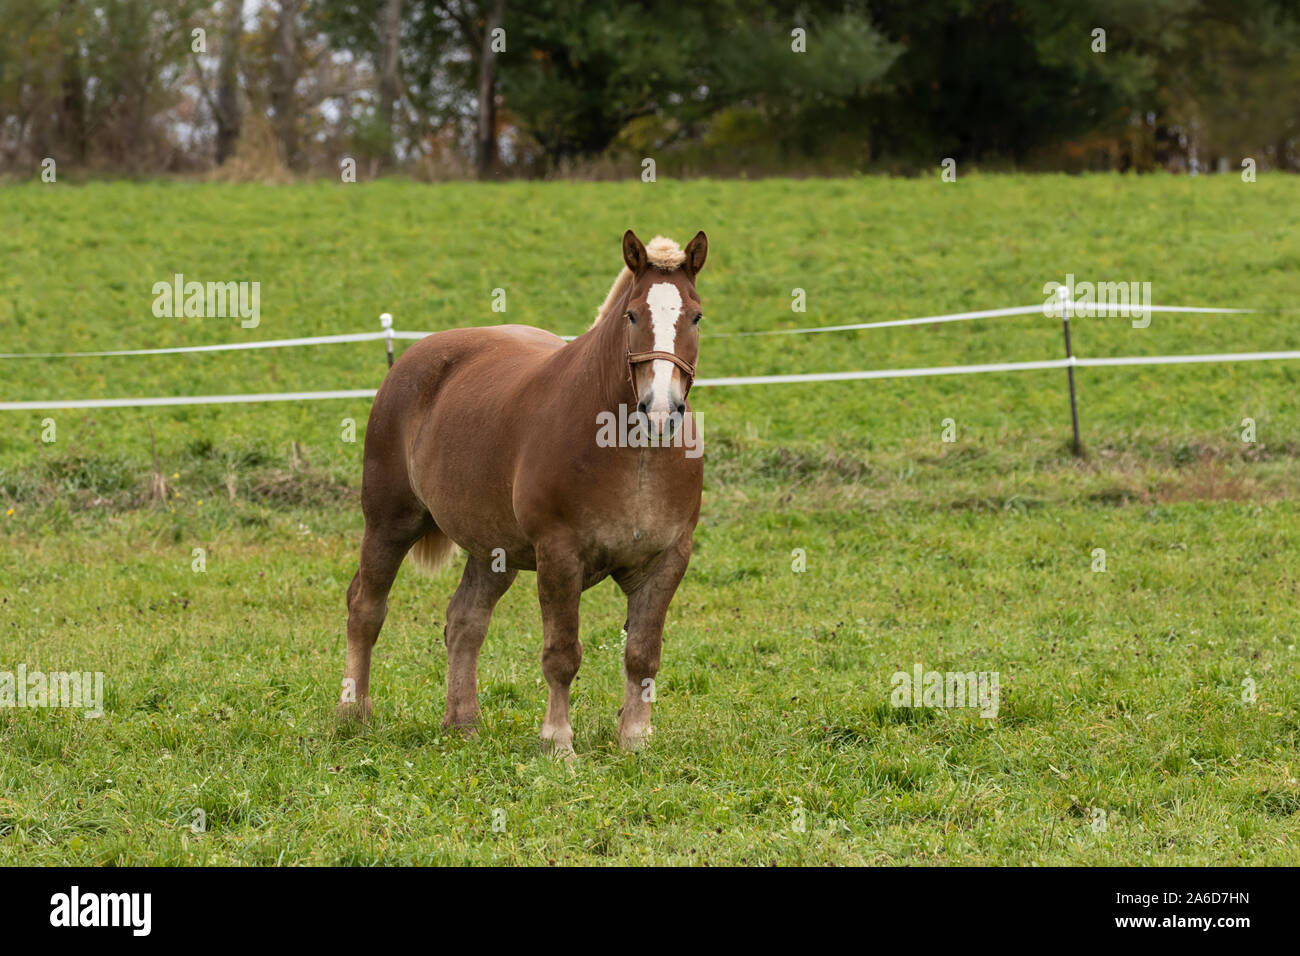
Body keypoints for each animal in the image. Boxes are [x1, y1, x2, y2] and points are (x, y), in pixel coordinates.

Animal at [338, 229, 708, 754]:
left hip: (493, 551)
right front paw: (558, 743)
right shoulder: (559, 556)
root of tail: (412, 360)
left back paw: (463, 722)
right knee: (365, 609)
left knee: (465, 621)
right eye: (633, 315)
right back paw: (353, 712)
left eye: (695, 315)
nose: (661, 409)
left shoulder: (666, 561)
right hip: (390, 523)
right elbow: (562, 654)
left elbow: (642, 654)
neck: (633, 454)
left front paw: (635, 740)